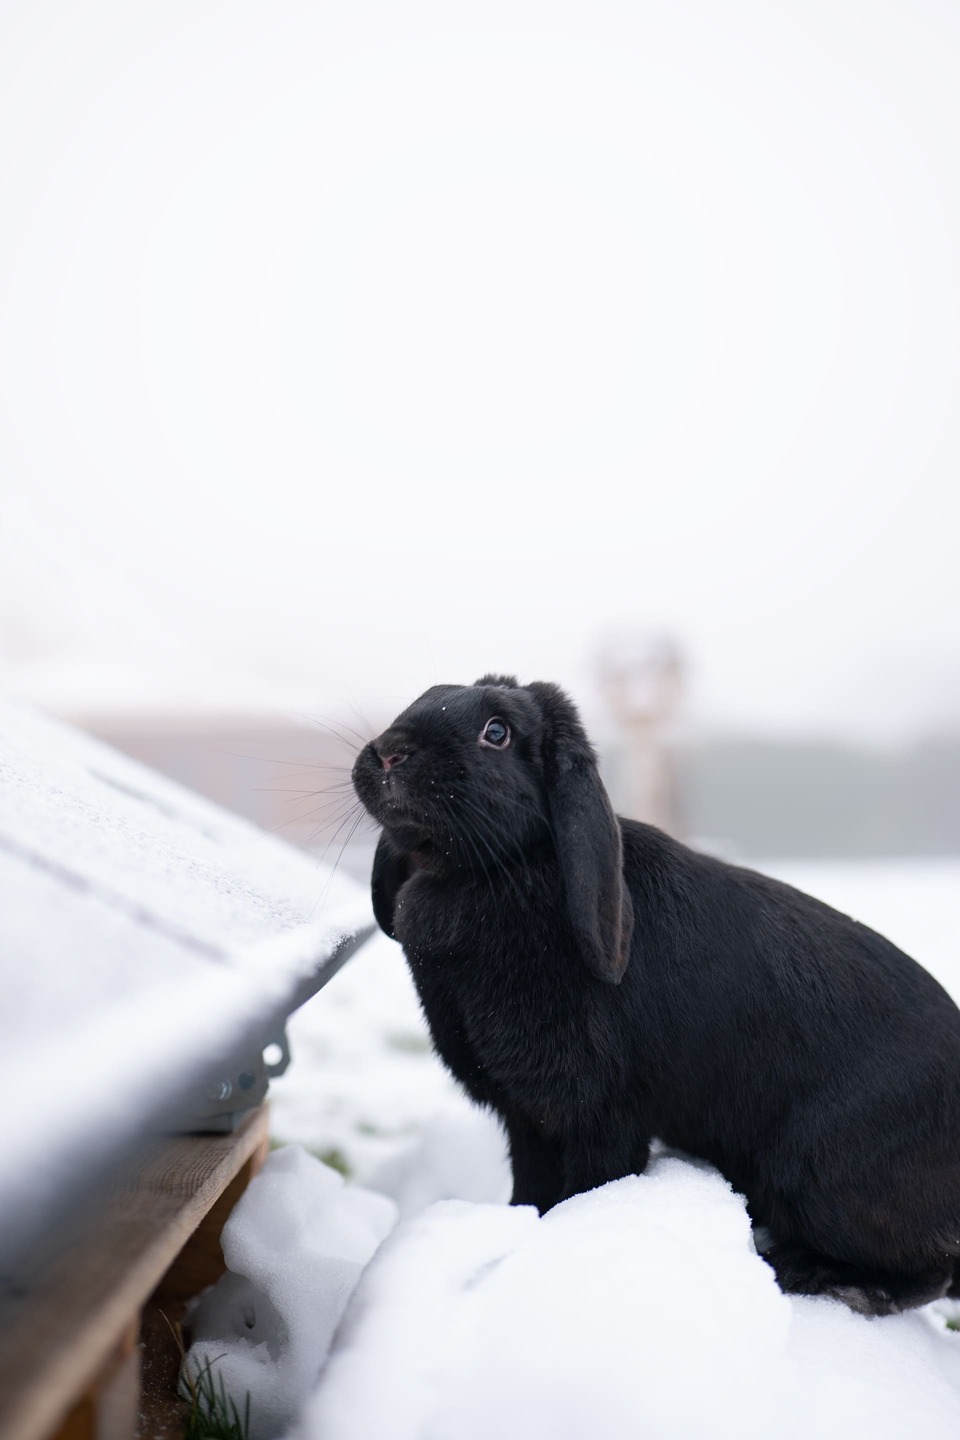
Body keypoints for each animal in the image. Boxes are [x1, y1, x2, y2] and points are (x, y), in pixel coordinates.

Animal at [351, 673, 960, 1319]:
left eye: (498, 732)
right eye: (424, 695)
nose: (389, 752)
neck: (499, 868)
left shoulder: (600, 1116)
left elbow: (585, 1189)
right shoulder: (527, 1121)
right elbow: (531, 1193)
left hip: (817, 1175)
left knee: (928, 1271)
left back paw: (821, 1277)